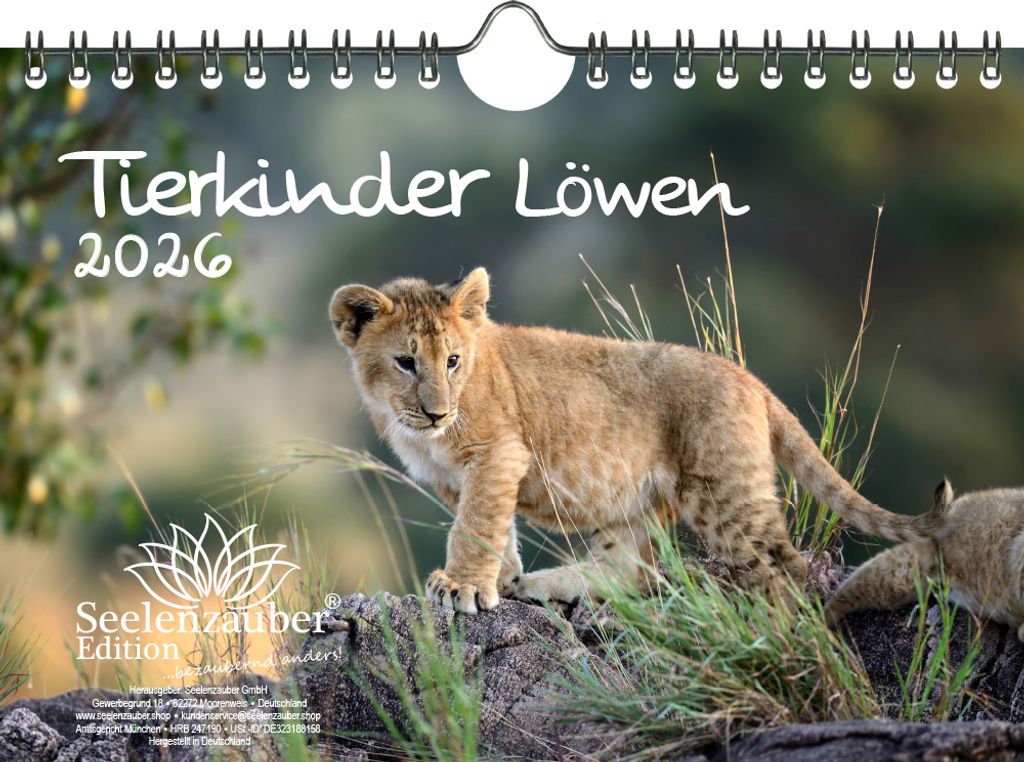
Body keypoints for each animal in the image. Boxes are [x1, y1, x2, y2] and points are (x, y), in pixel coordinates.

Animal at [329, 267, 937, 613]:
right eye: (406, 362)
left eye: (452, 361)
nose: (437, 412)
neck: (416, 429)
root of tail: (750, 379)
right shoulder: (456, 477)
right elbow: (493, 528)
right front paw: (500, 580)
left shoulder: (498, 452)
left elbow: (476, 525)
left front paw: (461, 588)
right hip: (629, 502)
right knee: (632, 571)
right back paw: (545, 585)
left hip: (724, 493)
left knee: (787, 566)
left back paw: (785, 632)